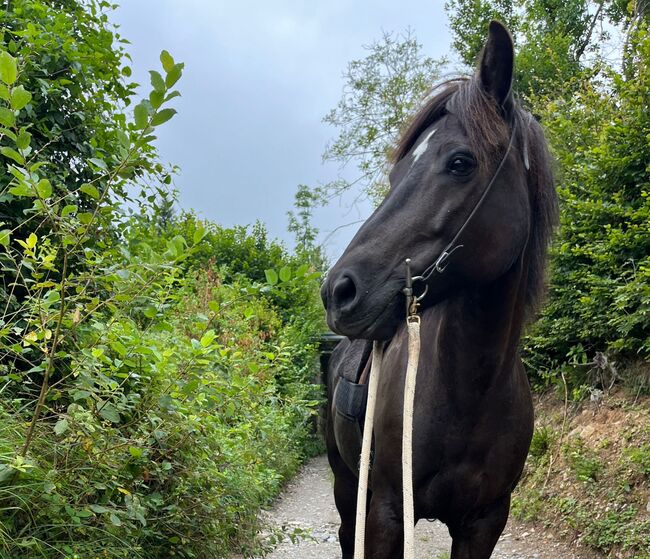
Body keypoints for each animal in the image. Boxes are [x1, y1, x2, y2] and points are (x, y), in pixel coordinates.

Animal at [318, 21, 556, 559]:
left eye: (461, 162)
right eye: (395, 174)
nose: (338, 291)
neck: (469, 394)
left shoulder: (483, 523)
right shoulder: (386, 512)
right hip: (345, 482)